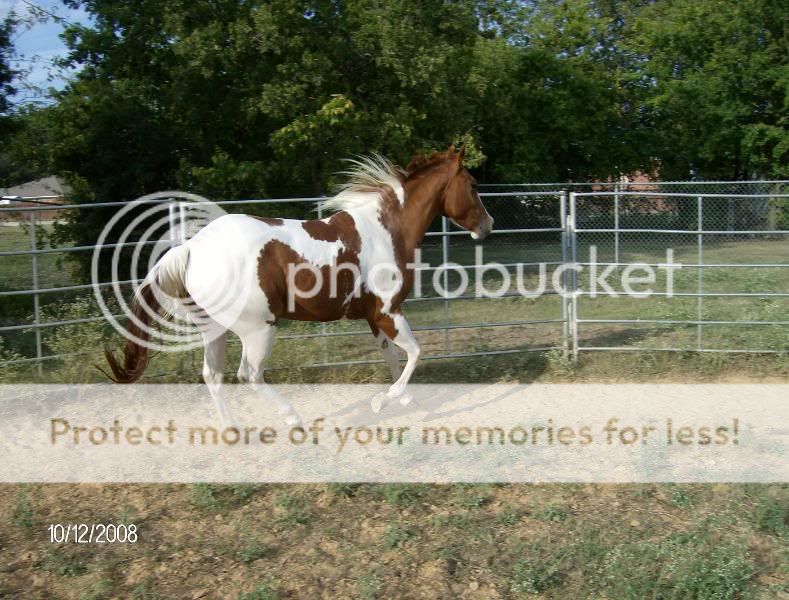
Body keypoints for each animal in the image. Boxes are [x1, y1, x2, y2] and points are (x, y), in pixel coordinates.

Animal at [101, 146, 490, 424]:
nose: (487, 225)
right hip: (259, 329)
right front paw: (385, 401)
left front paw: (403, 398)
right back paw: (291, 417)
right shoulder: (388, 311)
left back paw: (233, 430)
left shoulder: (375, 316)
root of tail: (192, 248)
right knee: (249, 374)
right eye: (472, 185)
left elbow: (394, 356)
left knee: (212, 375)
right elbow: (415, 353)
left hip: (214, 328)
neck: (385, 230)